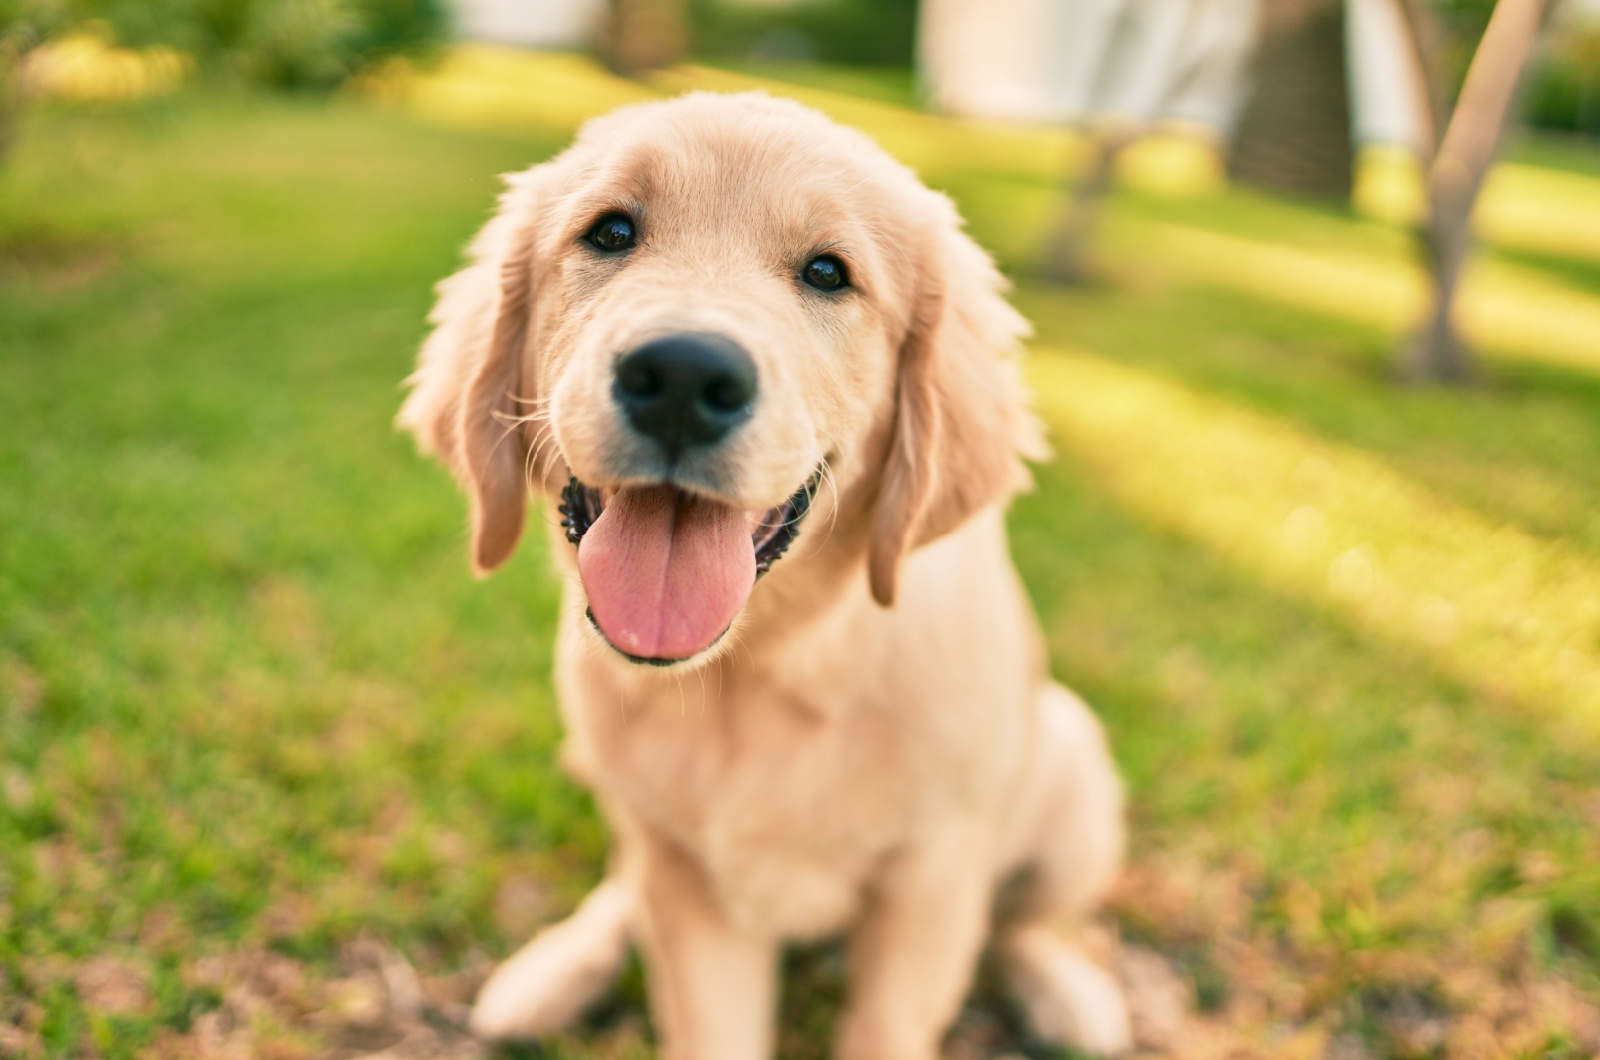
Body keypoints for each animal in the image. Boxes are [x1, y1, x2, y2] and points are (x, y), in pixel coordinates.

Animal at [396, 93, 1126, 1060]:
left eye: (827, 273)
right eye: (611, 231)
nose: (681, 374)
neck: (764, 669)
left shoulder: (929, 882)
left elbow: (892, 1023)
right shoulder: (691, 887)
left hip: (1073, 777)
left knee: (1024, 922)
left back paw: (1069, 993)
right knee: (623, 885)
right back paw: (555, 971)